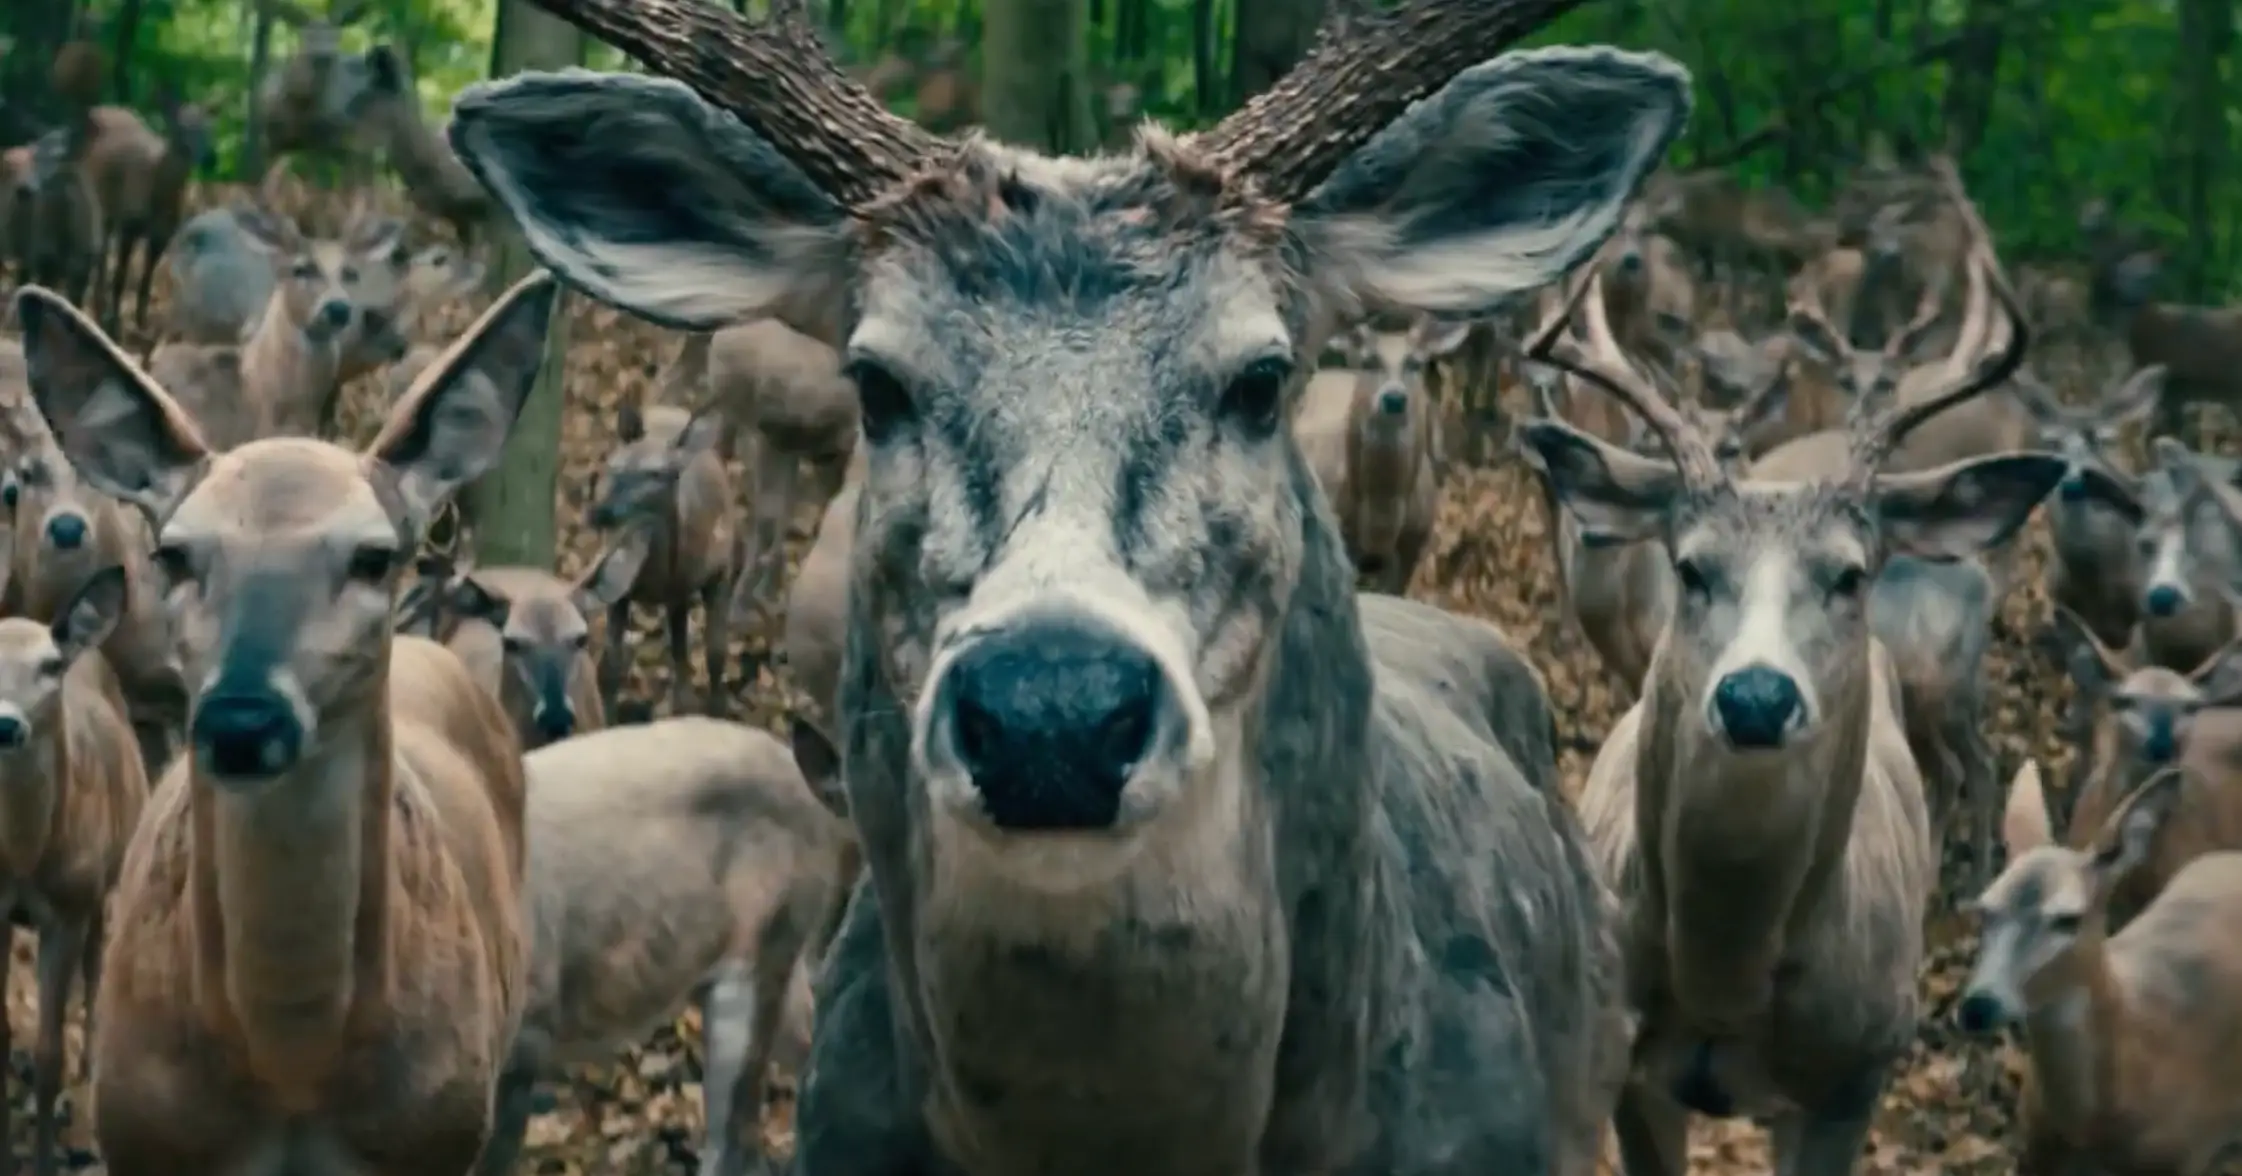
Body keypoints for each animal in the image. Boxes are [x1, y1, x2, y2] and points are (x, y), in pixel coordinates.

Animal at [12, 271, 554, 1174]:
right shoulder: (143, 1135)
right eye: (173, 553)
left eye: (374, 556)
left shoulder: (440, 1136)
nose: (241, 716)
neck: (291, 1073)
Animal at [585, 402, 738, 720]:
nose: (600, 513)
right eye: (617, 468)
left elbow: (712, 651)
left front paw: (716, 712)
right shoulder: (622, 591)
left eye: (659, 474)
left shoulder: (711, 575)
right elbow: (610, 666)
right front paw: (607, 721)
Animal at [1520, 220, 2047, 1175]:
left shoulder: (1853, 1078)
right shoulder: (1632, 1070)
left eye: (1850, 573)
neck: (1724, 982)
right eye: (1690, 566)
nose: (1757, 697)